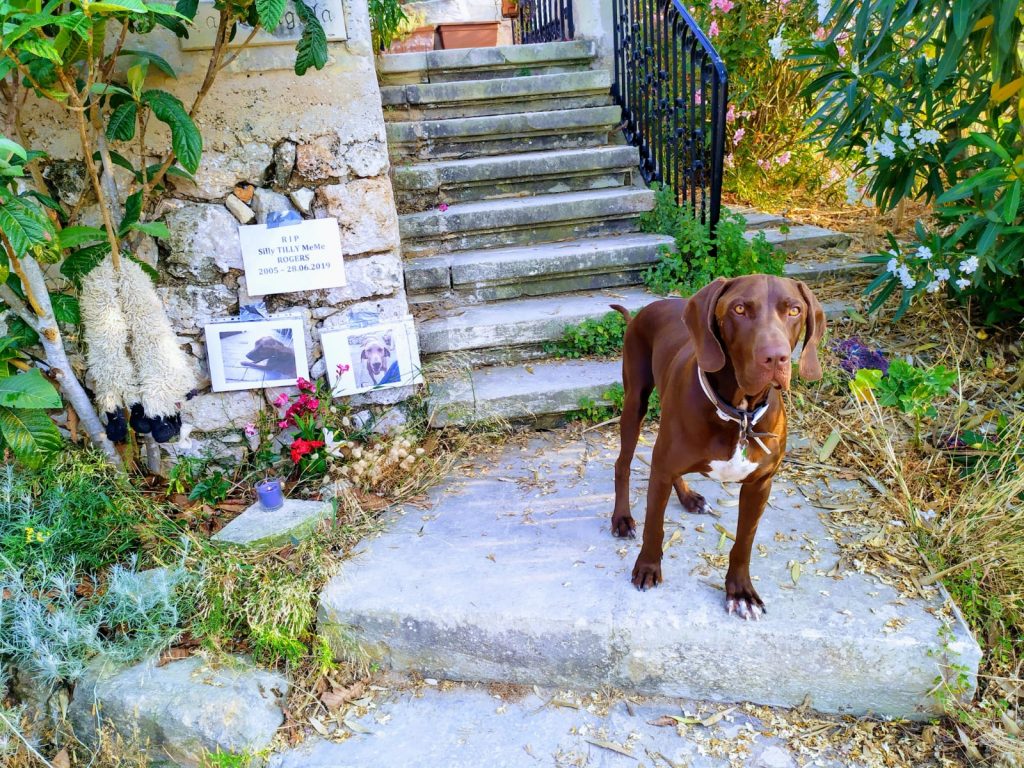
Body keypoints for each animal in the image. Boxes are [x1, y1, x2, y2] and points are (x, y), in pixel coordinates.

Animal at [610, 274, 827, 618]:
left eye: (794, 310)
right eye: (739, 308)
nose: (775, 357)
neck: (740, 414)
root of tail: (647, 309)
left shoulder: (759, 485)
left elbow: (744, 543)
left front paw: (741, 591)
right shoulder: (662, 470)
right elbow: (654, 526)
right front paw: (647, 567)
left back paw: (689, 498)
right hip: (635, 401)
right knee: (623, 463)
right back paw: (621, 519)